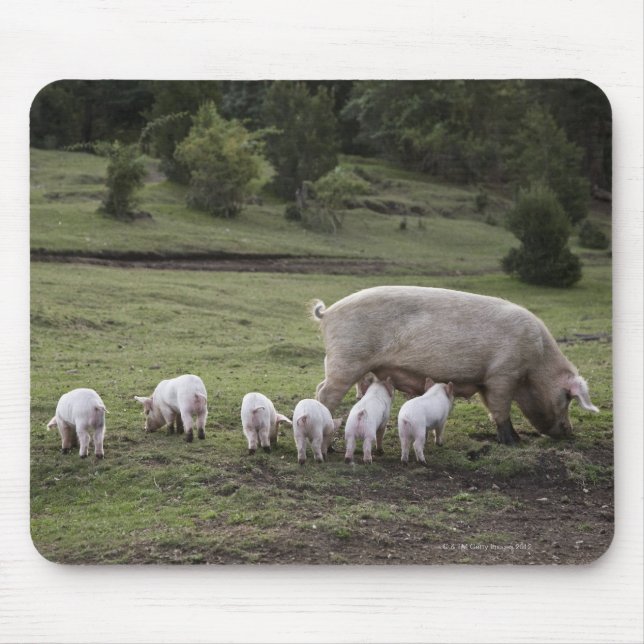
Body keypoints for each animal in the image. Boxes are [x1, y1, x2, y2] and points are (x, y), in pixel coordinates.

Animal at [311, 286, 599, 445]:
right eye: (567, 397)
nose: (569, 432)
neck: (536, 363)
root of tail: (329, 313)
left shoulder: (485, 381)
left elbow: (492, 409)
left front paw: (514, 439)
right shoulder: (502, 374)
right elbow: (501, 408)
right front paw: (514, 443)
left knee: (320, 386)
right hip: (347, 359)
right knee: (325, 393)